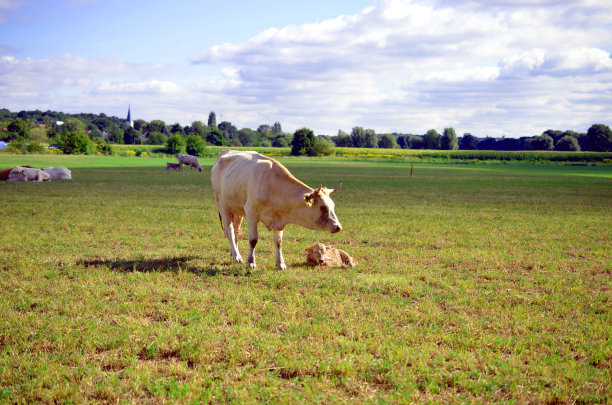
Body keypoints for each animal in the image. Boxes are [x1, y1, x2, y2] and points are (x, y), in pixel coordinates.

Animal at [213, 148, 342, 268]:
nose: (338, 227)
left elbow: (279, 242)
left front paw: (280, 263)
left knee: (235, 230)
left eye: (333, 205)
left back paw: (234, 254)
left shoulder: (280, 219)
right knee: (230, 231)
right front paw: (251, 262)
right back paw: (237, 256)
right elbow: (253, 240)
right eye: (322, 207)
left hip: (237, 211)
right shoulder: (251, 213)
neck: (273, 187)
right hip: (223, 207)